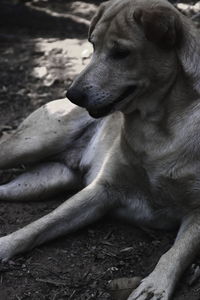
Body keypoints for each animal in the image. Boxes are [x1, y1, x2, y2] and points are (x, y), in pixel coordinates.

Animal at [0, 0, 200, 298]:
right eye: (92, 46)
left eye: (121, 53)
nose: (73, 95)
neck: (157, 127)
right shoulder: (100, 191)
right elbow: (39, 225)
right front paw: (4, 245)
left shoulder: (198, 213)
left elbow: (176, 252)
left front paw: (155, 285)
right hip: (30, 145)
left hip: (41, 183)